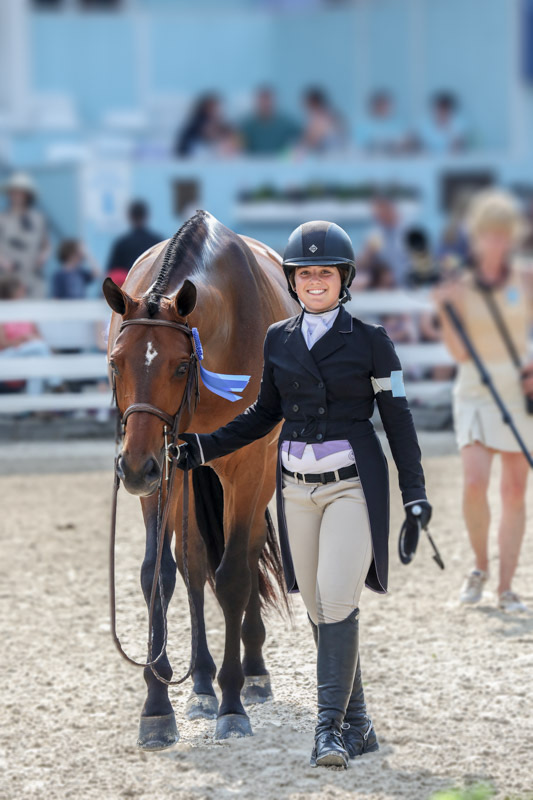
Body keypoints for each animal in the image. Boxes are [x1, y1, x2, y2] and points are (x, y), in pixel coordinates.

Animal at [103, 209, 296, 748]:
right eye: (116, 362)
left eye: (180, 365)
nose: (133, 468)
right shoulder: (163, 474)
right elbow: (157, 574)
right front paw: (156, 705)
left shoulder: (247, 469)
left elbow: (233, 576)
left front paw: (233, 702)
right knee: (191, 565)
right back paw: (202, 681)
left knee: (245, 556)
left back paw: (251, 673)